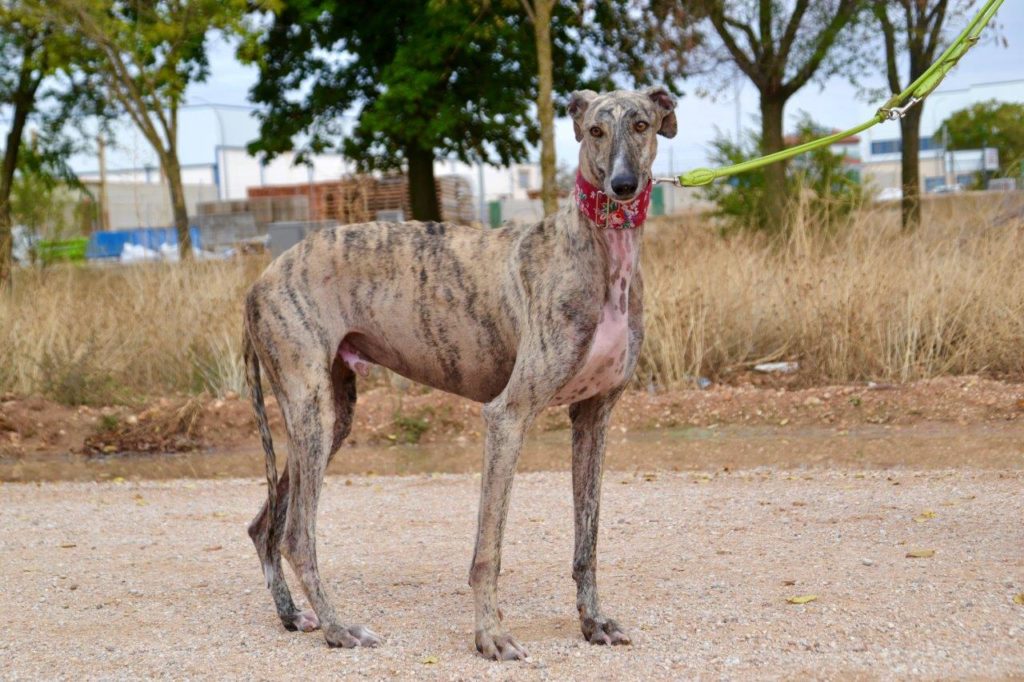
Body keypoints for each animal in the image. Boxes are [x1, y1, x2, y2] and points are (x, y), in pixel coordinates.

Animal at [242, 86, 675, 659]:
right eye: (595, 132)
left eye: (643, 124)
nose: (622, 186)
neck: (603, 255)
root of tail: (260, 280)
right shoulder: (507, 417)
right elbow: (488, 549)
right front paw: (490, 635)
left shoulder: (593, 416)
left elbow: (589, 538)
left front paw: (593, 622)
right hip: (310, 409)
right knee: (296, 535)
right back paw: (339, 628)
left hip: (330, 416)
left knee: (264, 525)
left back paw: (293, 615)